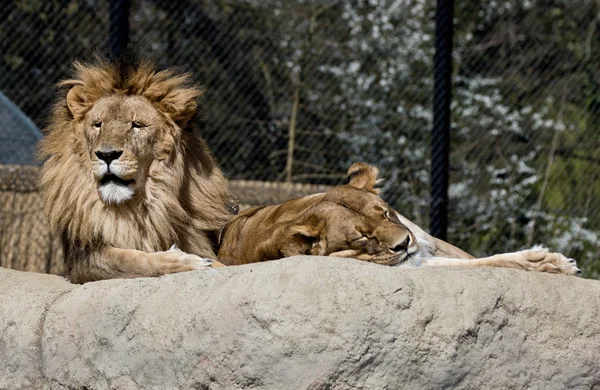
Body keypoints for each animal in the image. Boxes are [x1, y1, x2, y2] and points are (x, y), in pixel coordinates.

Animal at [38, 57, 233, 284]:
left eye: (136, 125)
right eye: (98, 124)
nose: (106, 155)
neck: (133, 208)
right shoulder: (84, 260)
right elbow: (132, 260)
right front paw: (187, 261)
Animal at [219, 163, 580, 276]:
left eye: (386, 212)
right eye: (362, 237)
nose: (404, 243)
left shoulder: (430, 242)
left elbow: (470, 256)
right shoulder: (414, 264)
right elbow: (486, 262)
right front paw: (549, 263)